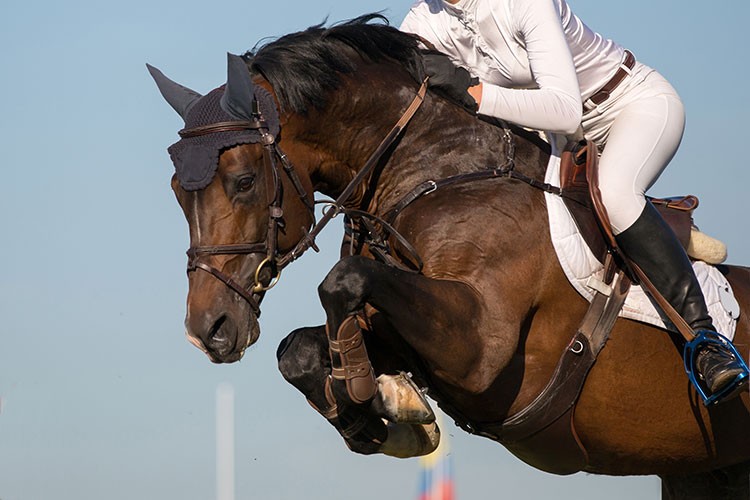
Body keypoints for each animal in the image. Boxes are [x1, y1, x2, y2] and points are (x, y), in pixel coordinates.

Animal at [150, 13, 750, 498]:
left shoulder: (482, 345)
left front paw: (378, 396)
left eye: (244, 181)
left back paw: (716, 364)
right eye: (179, 191)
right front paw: (384, 410)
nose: (207, 330)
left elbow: (340, 282)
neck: (441, 170)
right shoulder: (400, 325)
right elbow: (297, 348)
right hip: (701, 472)